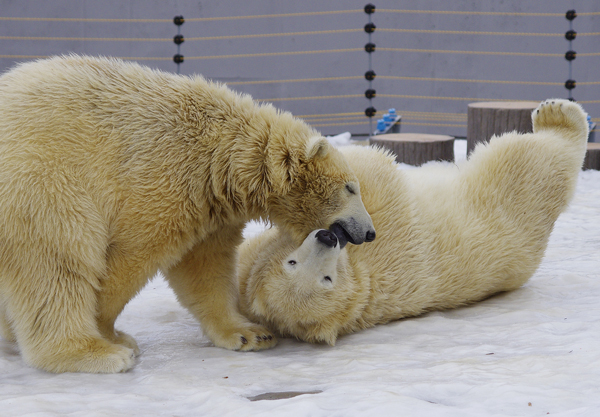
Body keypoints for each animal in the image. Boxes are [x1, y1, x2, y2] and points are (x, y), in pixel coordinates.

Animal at [0, 53, 376, 372]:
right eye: (350, 187)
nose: (369, 232)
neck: (223, 151)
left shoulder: (209, 203)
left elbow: (205, 266)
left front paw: (251, 334)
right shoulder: (164, 177)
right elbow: (130, 257)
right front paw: (110, 332)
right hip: (41, 179)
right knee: (57, 255)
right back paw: (94, 352)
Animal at [236, 98, 592, 344]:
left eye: (325, 278)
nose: (329, 237)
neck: (360, 280)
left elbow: (374, 175)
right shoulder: (380, 254)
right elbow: (377, 176)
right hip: (509, 196)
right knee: (536, 159)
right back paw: (558, 114)